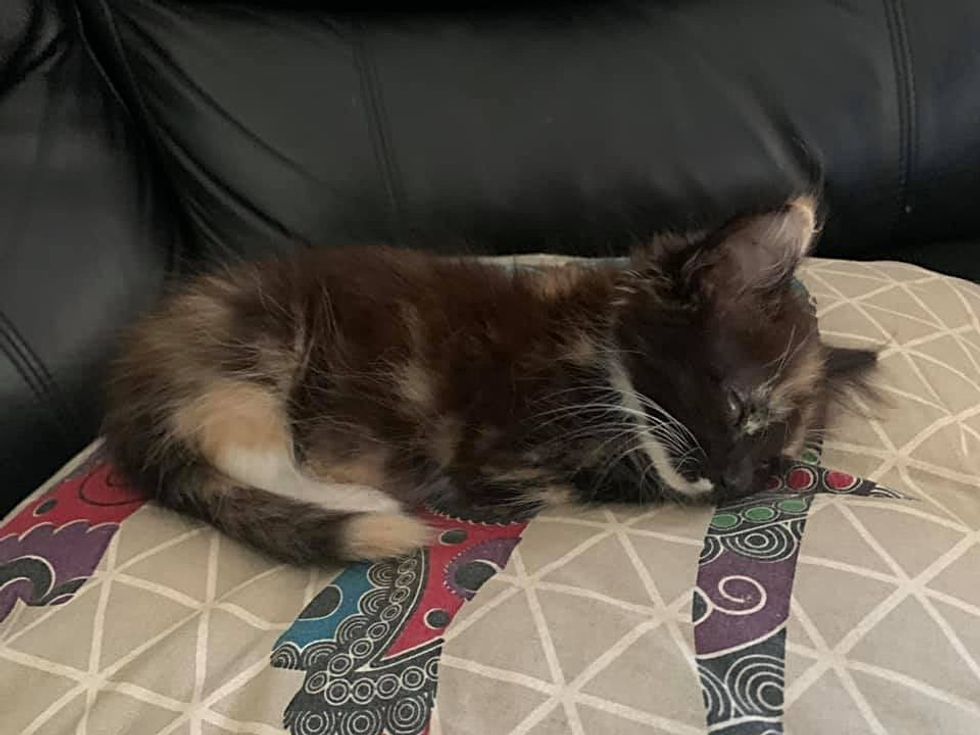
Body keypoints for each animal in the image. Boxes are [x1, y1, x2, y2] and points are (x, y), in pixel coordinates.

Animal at [105, 198, 872, 568]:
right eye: (740, 406)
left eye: (773, 464)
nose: (737, 482)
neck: (600, 354)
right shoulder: (506, 446)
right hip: (253, 353)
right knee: (242, 452)